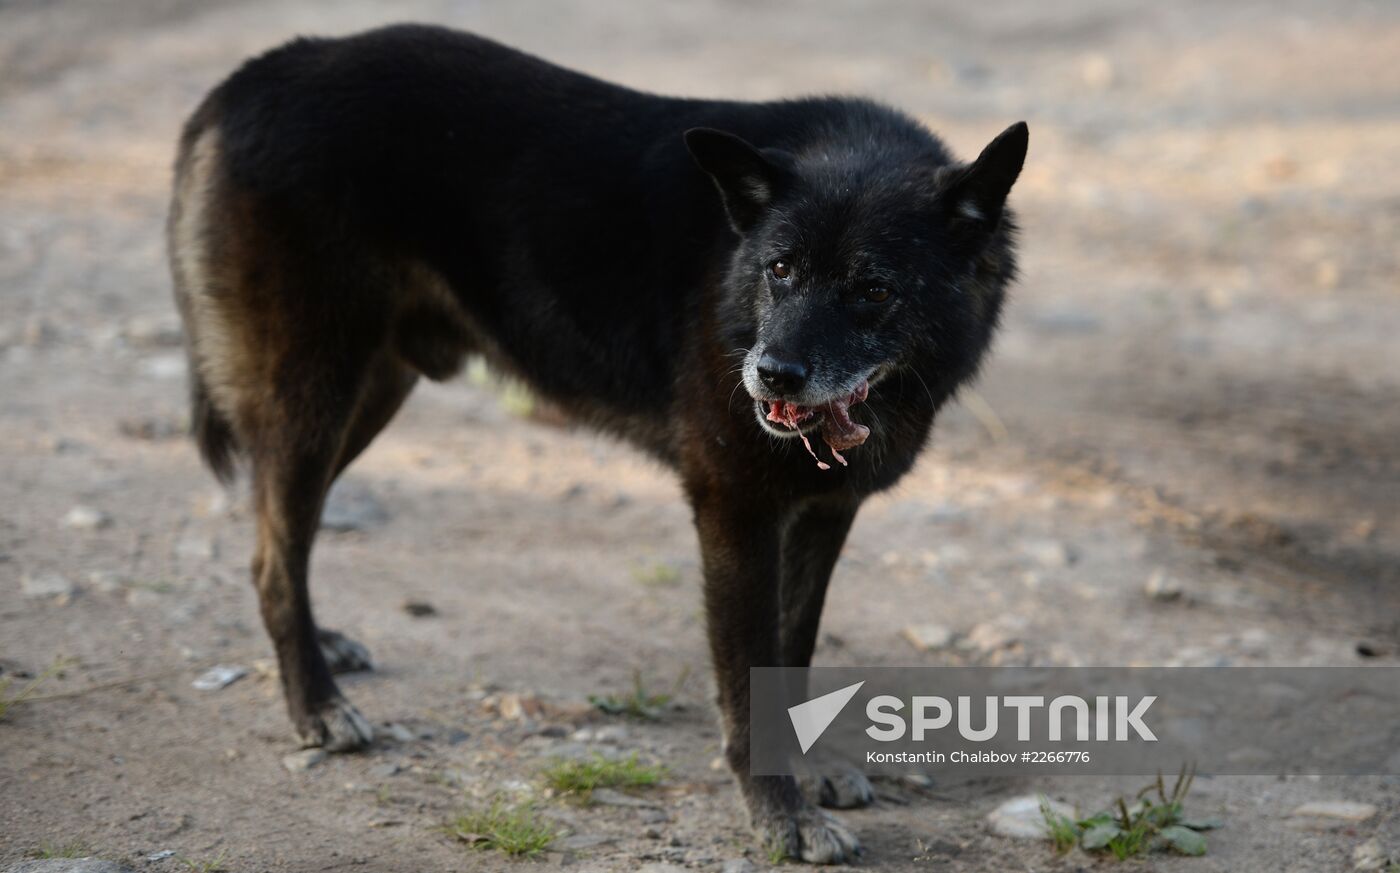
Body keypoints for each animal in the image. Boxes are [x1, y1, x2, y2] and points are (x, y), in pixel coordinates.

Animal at [169, 23, 1024, 861]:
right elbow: (749, 676)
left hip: (366, 397)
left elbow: (794, 651)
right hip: (315, 396)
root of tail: (264, 70)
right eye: (781, 269)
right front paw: (782, 817)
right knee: (275, 553)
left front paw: (805, 776)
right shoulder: (737, 511)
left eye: (873, 288)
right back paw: (316, 704)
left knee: (274, 531)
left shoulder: (821, 514)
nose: (770, 374)